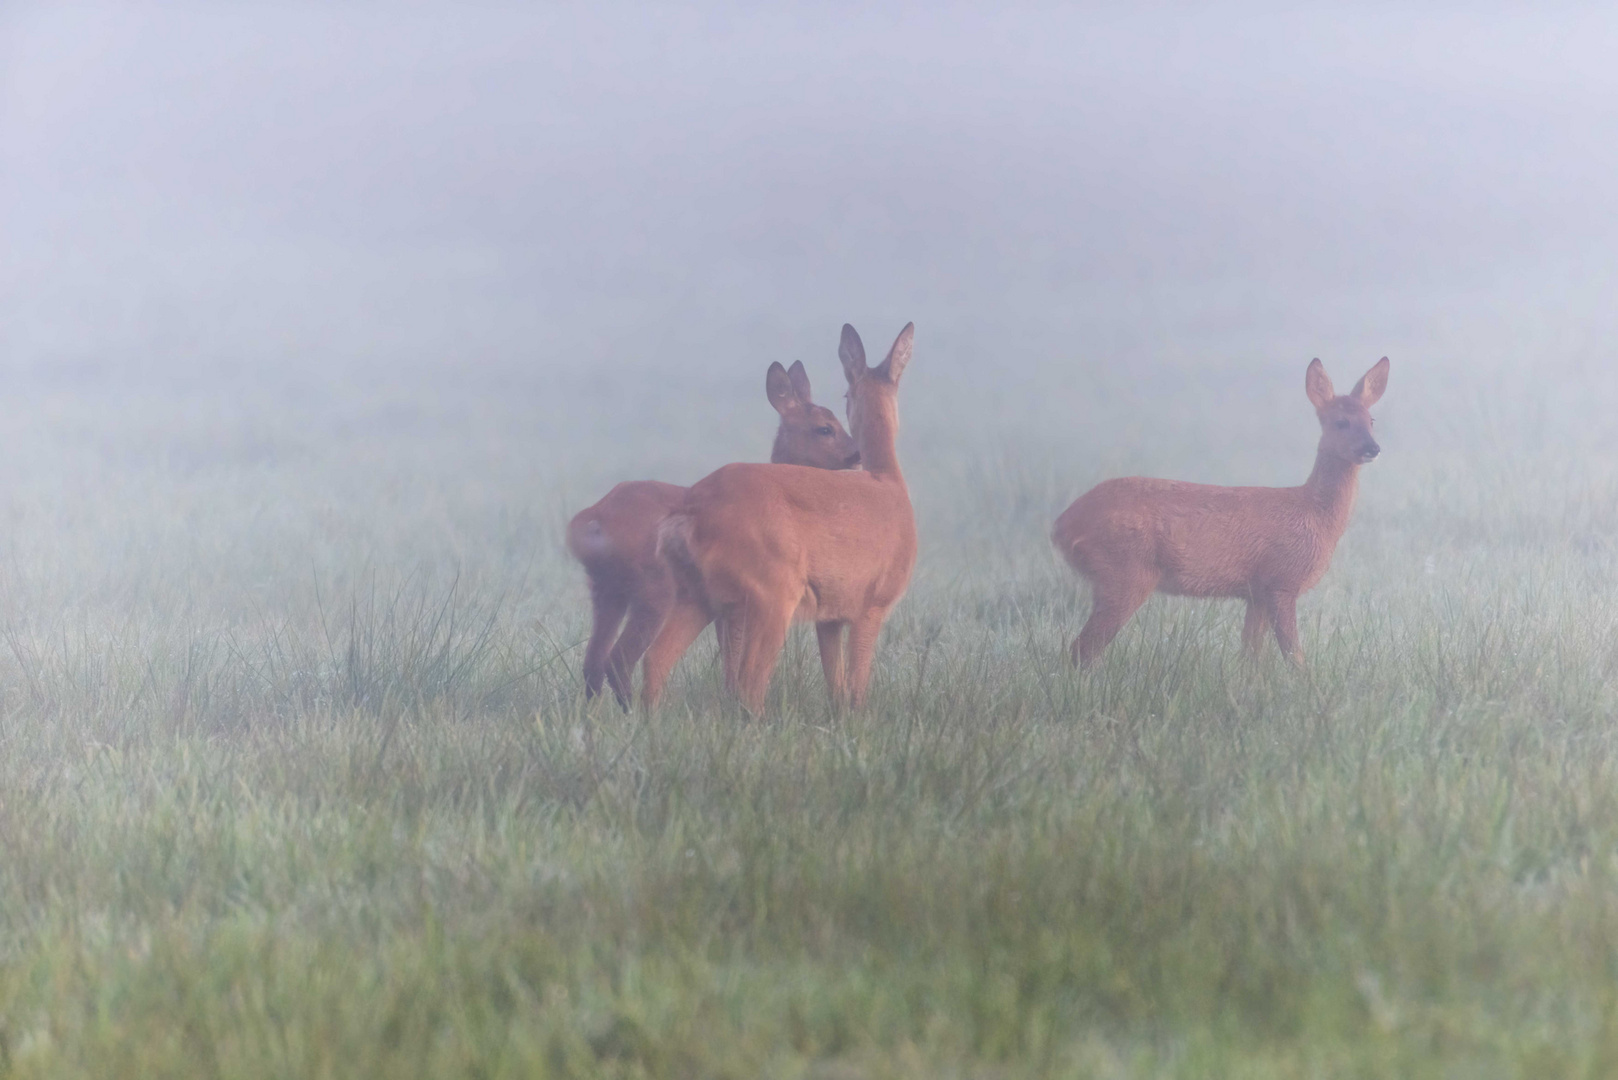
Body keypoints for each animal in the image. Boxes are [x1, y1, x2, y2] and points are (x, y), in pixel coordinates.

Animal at [566, 359, 860, 709]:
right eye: (824, 428)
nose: (856, 454)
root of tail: (591, 519)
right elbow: (733, 657)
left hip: (606, 589)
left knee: (592, 663)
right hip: (654, 589)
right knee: (620, 659)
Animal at [650, 317, 919, 712]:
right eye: (843, 400)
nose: (854, 454)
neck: (889, 481)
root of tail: (690, 513)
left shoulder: (830, 614)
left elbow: (836, 686)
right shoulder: (874, 600)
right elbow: (857, 689)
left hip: (697, 593)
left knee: (654, 662)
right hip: (772, 591)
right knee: (749, 683)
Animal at [1048, 359, 1391, 667]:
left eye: (1371, 420)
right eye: (1341, 422)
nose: (1372, 448)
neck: (1315, 515)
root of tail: (1061, 526)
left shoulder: (1256, 592)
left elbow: (1250, 657)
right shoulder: (1282, 581)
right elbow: (1294, 657)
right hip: (1126, 571)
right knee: (1082, 649)